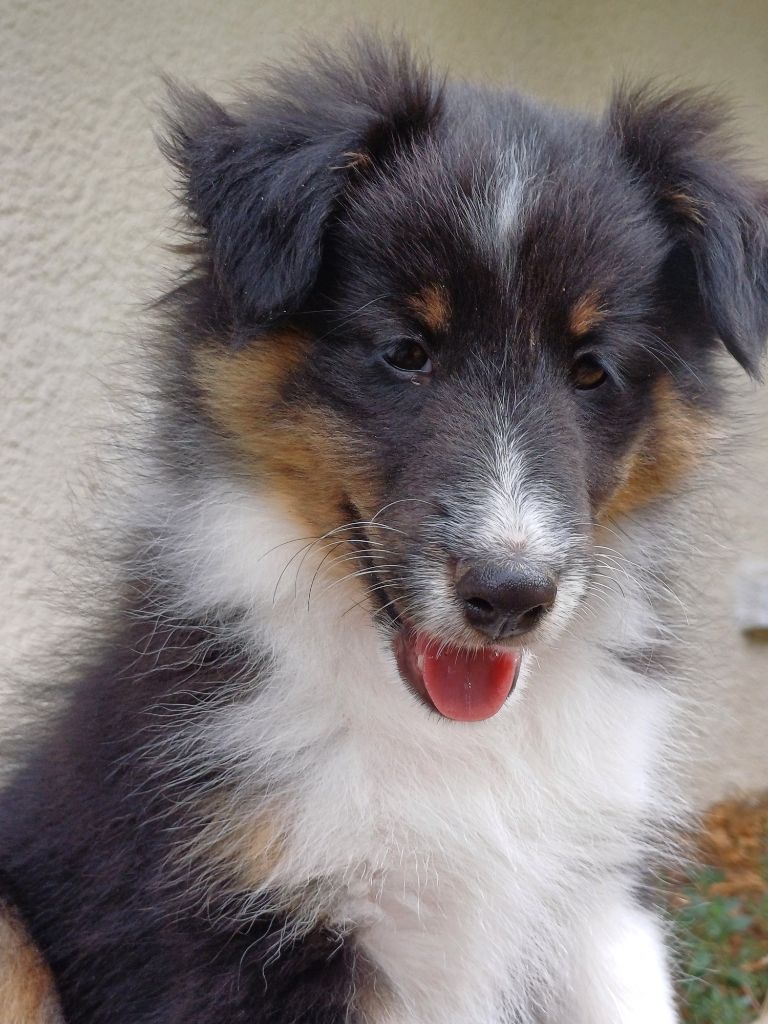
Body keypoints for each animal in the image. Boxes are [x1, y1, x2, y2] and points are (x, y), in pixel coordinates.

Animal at [0, 37, 765, 1024]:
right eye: (406, 352)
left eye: (594, 370)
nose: (510, 597)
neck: (454, 744)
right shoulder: (230, 927)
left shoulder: (598, 901)